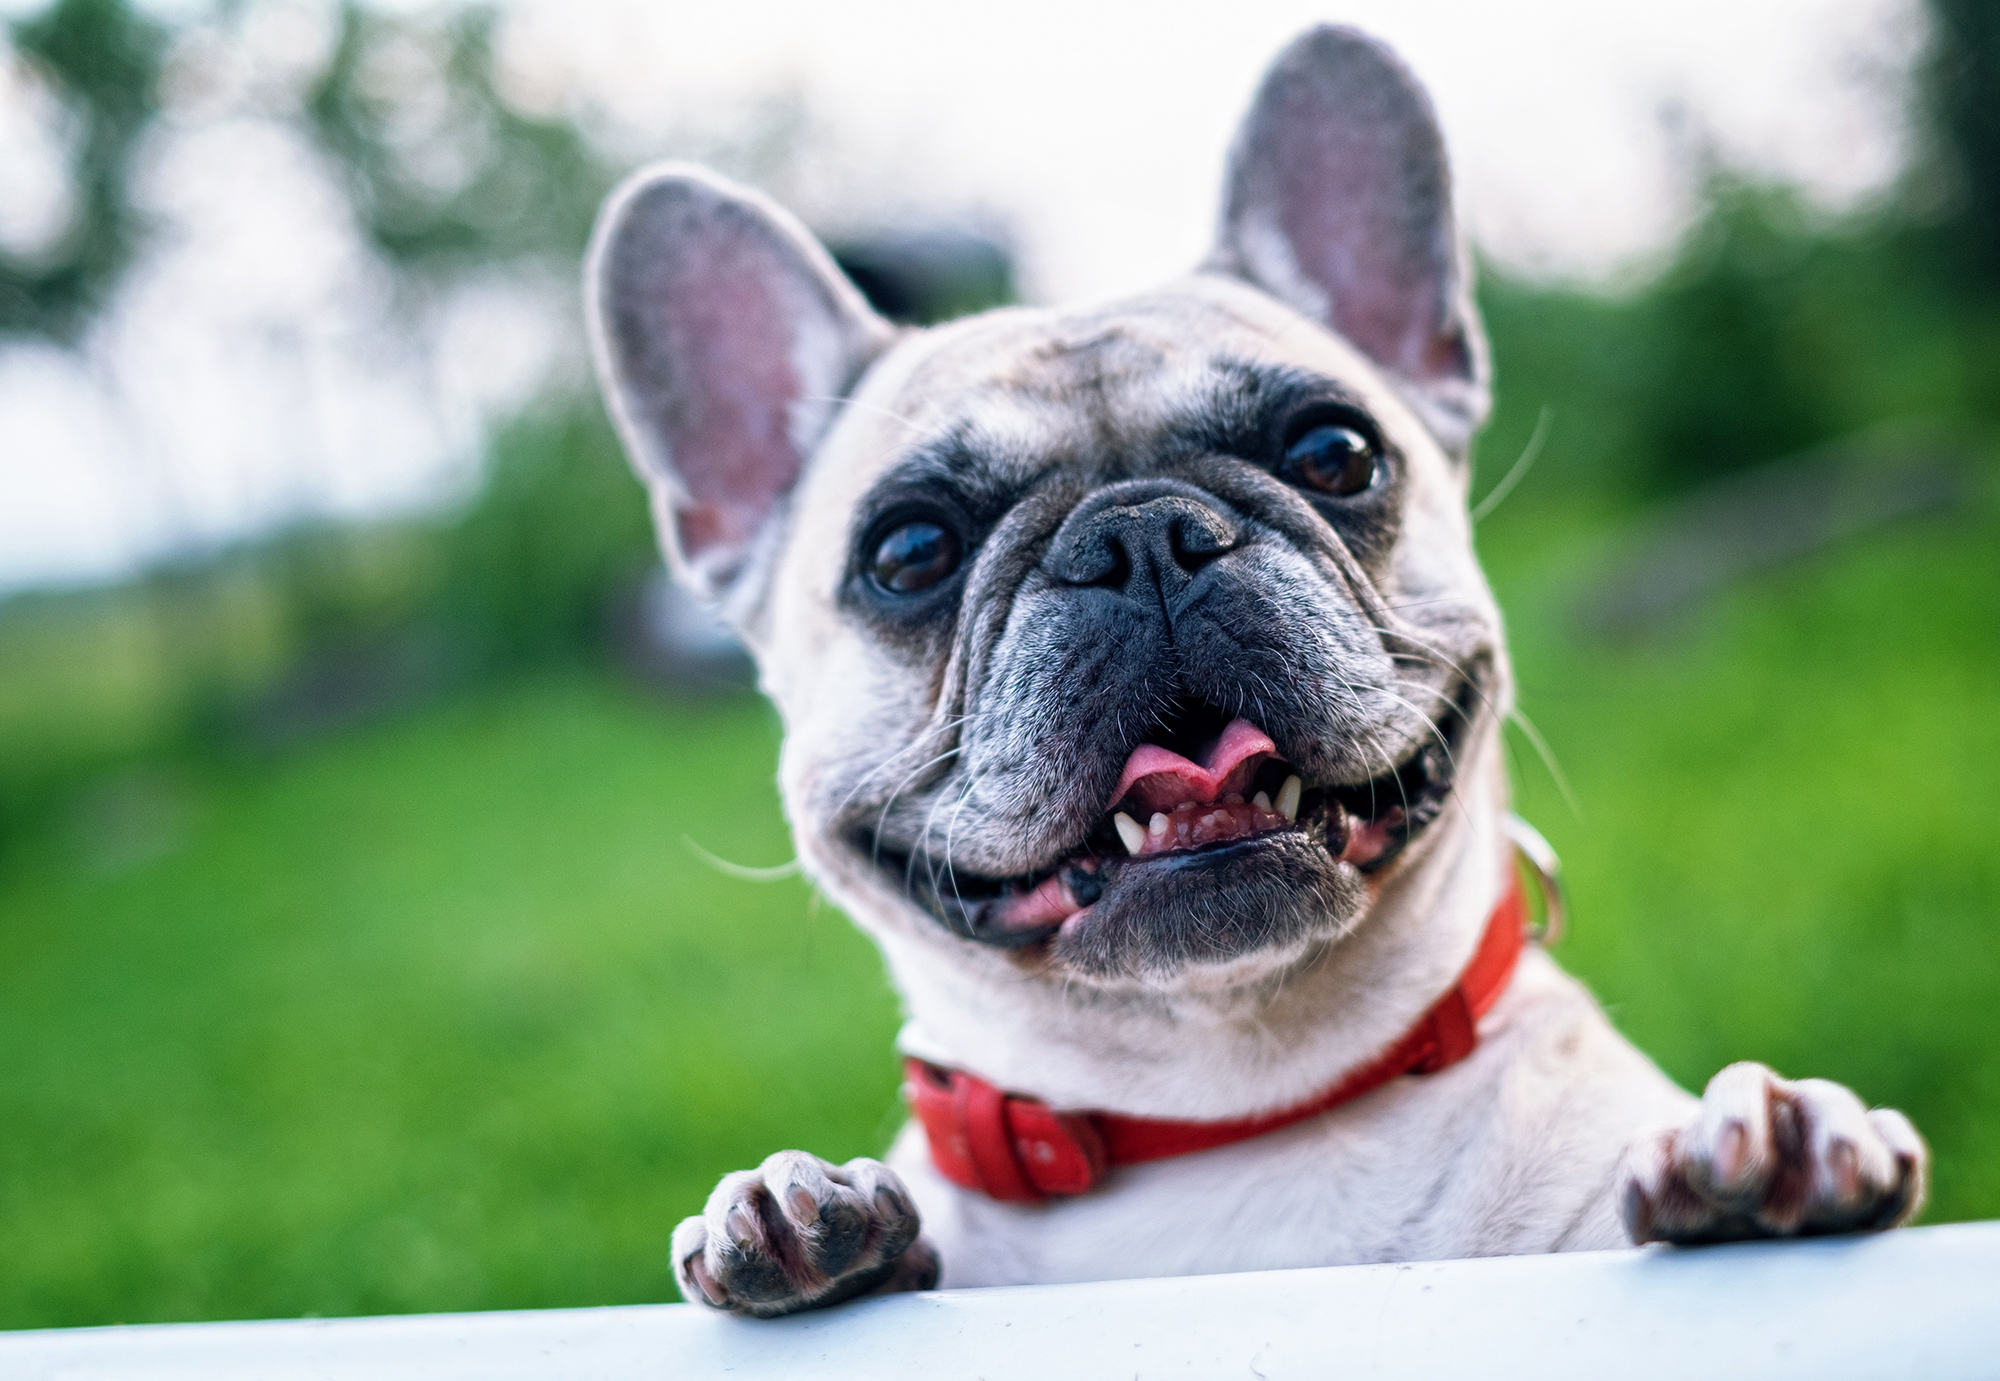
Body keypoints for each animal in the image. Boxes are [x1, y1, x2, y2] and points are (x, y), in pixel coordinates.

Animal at [584, 21, 1928, 1312]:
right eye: (908, 550)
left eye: (1333, 452)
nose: (1138, 535)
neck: (1230, 1107)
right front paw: (800, 1218)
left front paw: (1780, 1154)